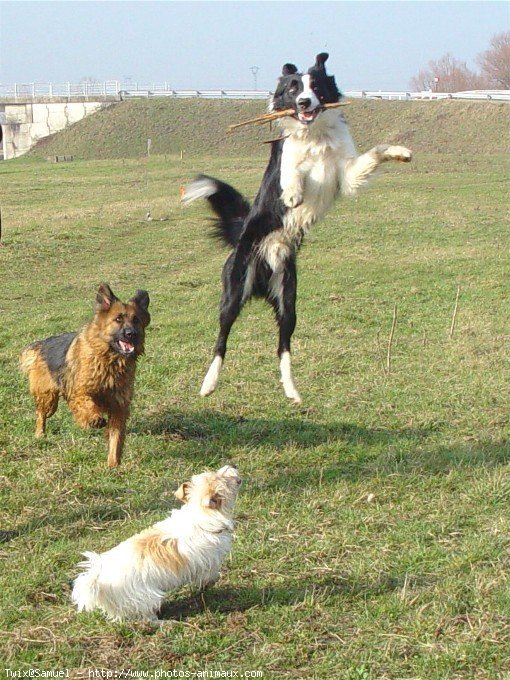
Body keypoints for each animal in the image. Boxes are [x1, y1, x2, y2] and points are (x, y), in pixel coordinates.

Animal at [70, 464, 243, 624]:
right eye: (223, 478)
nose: (233, 465)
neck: (201, 515)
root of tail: (99, 580)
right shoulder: (208, 562)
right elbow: (210, 575)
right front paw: (209, 584)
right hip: (147, 598)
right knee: (148, 619)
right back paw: (166, 623)